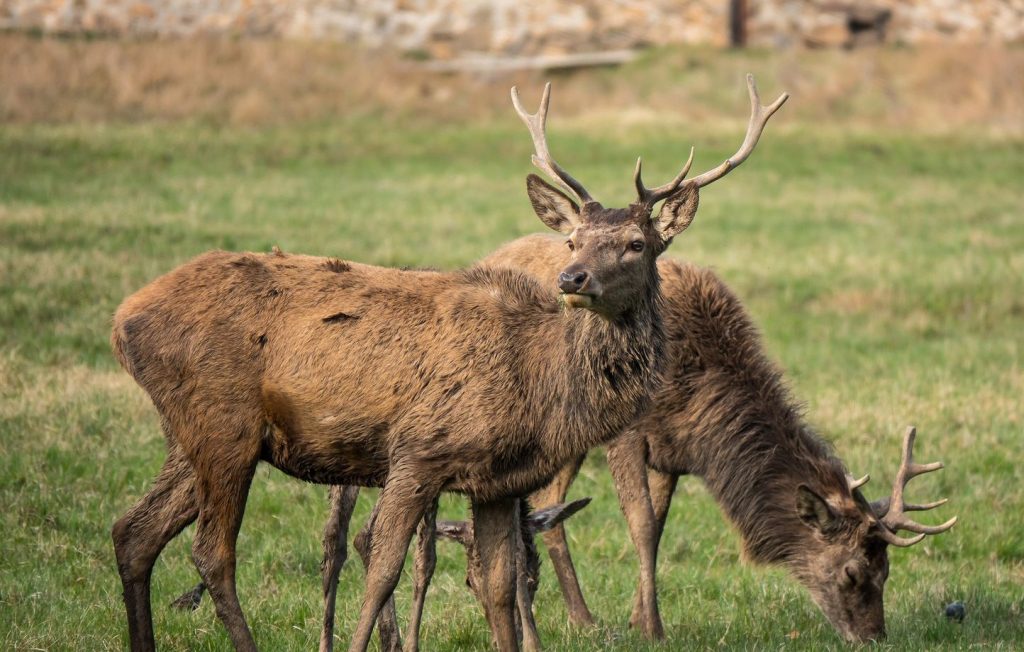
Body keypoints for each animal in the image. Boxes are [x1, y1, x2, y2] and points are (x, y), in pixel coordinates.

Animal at [110, 73, 782, 646]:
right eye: (572, 239)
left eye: (637, 243)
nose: (572, 277)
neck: (541, 382)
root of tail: (122, 320)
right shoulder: (417, 450)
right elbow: (381, 573)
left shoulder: (499, 481)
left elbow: (499, 588)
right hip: (224, 424)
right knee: (211, 554)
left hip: (196, 433)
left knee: (133, 532)